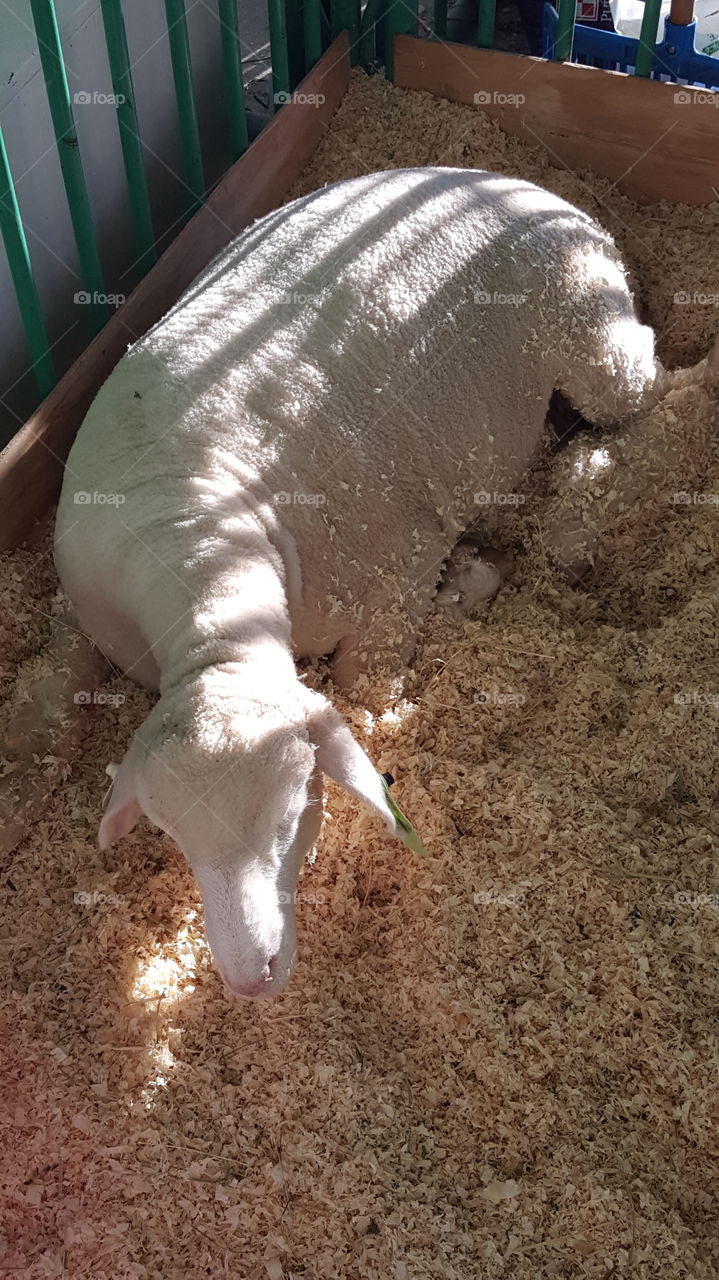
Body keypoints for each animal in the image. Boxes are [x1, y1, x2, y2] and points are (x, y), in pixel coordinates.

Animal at [52, 165, 696, 998]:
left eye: (298, 806)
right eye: (171, 834)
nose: (250, 978)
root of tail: (516, 183)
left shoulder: (399, 568)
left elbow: (369, 684)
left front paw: (471, 580)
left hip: (594, 337)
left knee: (660, 391)